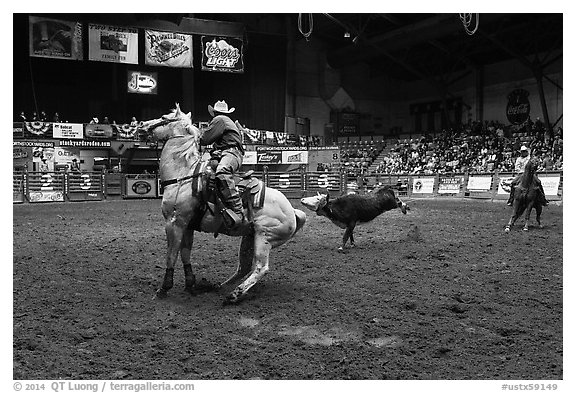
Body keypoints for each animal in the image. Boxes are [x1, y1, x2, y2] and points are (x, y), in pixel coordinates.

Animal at [139, 104, 306, 304]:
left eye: (164, 117)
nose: (141, 126)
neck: (183, 175)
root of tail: (292, 212)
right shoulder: (187, 225)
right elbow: (185, 254)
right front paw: (190, 285)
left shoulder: (175, 222)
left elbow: (171, 255)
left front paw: (163, 289)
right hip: (249, 237)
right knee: (243, 268)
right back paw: (220, 287)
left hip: (264, 237)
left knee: (260, 268)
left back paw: (234, 294)